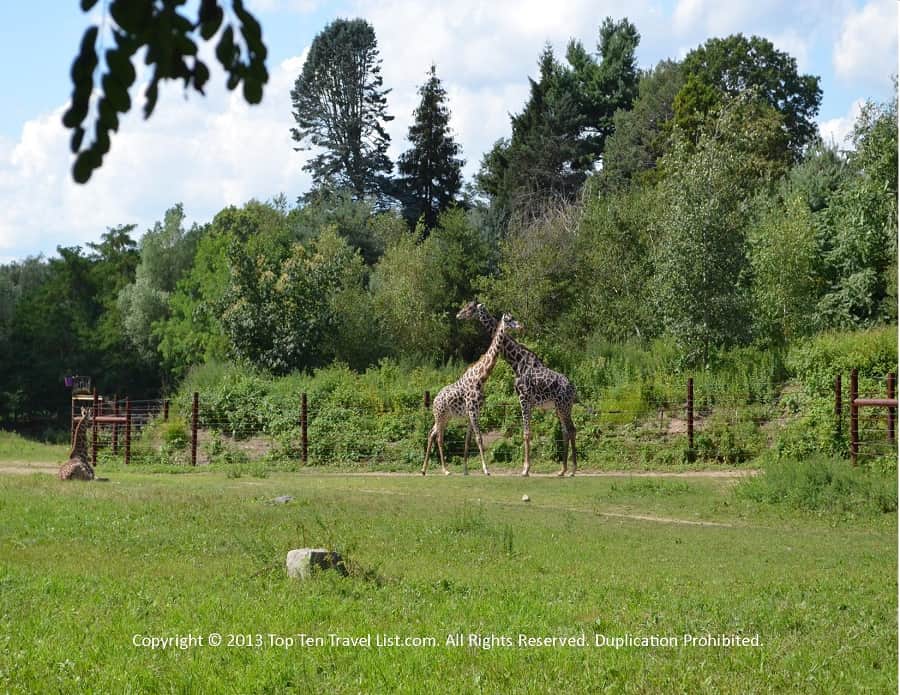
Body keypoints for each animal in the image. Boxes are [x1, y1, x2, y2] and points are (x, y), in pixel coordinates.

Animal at [422, 313, 521, 476]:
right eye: (509, 320)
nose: (520, 326)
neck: (481, 378)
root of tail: (435, 400)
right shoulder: (473, 411)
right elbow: (479, 438)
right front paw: (486, 470)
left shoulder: (474, 412)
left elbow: (468, 441)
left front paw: (466, 470)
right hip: (440, 416)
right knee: (439, 437)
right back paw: (445, 470)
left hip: (446, 417)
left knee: (432, 433)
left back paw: (424, 470)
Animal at [457, 301, 578, 477]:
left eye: (469, 308)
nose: (458, 314)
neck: (517, 362)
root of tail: (573, 388)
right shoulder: (528, 401)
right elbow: (528, 432)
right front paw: (527, 468)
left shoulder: (524, 398)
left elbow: (526, 433)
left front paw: (525, 469)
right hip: (560, 407)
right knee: (565, 431)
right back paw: (562, 471)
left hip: (564, 406)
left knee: (571, 430)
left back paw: (573, 470)